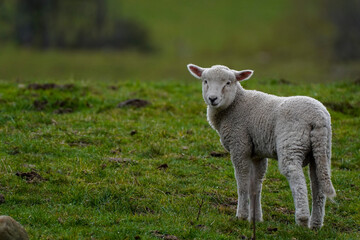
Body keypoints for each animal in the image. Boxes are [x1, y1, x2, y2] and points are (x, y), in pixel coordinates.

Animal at [187, 63, 336, 229]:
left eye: (228, 83)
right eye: (205, 81)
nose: (213, 99)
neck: (234, 106)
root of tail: (318, 117)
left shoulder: (239, 145)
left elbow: (242, 182)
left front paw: (242, 216)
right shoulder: (257, 153)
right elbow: (256, 185)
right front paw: (256, 218)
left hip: (292, 142)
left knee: (296, 177)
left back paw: (302, 220)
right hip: (322, 148)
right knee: (318, 182)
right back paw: (315, 225)